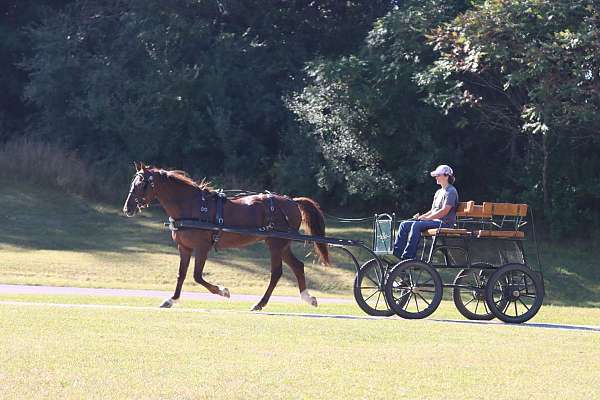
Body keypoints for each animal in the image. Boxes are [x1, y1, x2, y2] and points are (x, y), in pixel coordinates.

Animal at [122, 161, 328, 310]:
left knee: (277, 273)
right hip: (281, 244)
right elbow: (181, 274)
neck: (192, 206)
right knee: (298, 266)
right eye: (134, 183)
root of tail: (292, 201)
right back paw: (308, 298)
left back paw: (260, 303)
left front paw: (223, 291)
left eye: (141, 184)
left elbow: (197, 276)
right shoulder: (184, 247)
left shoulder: (202, 248)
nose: (127, 208)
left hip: (276, 244)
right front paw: (171, 300)